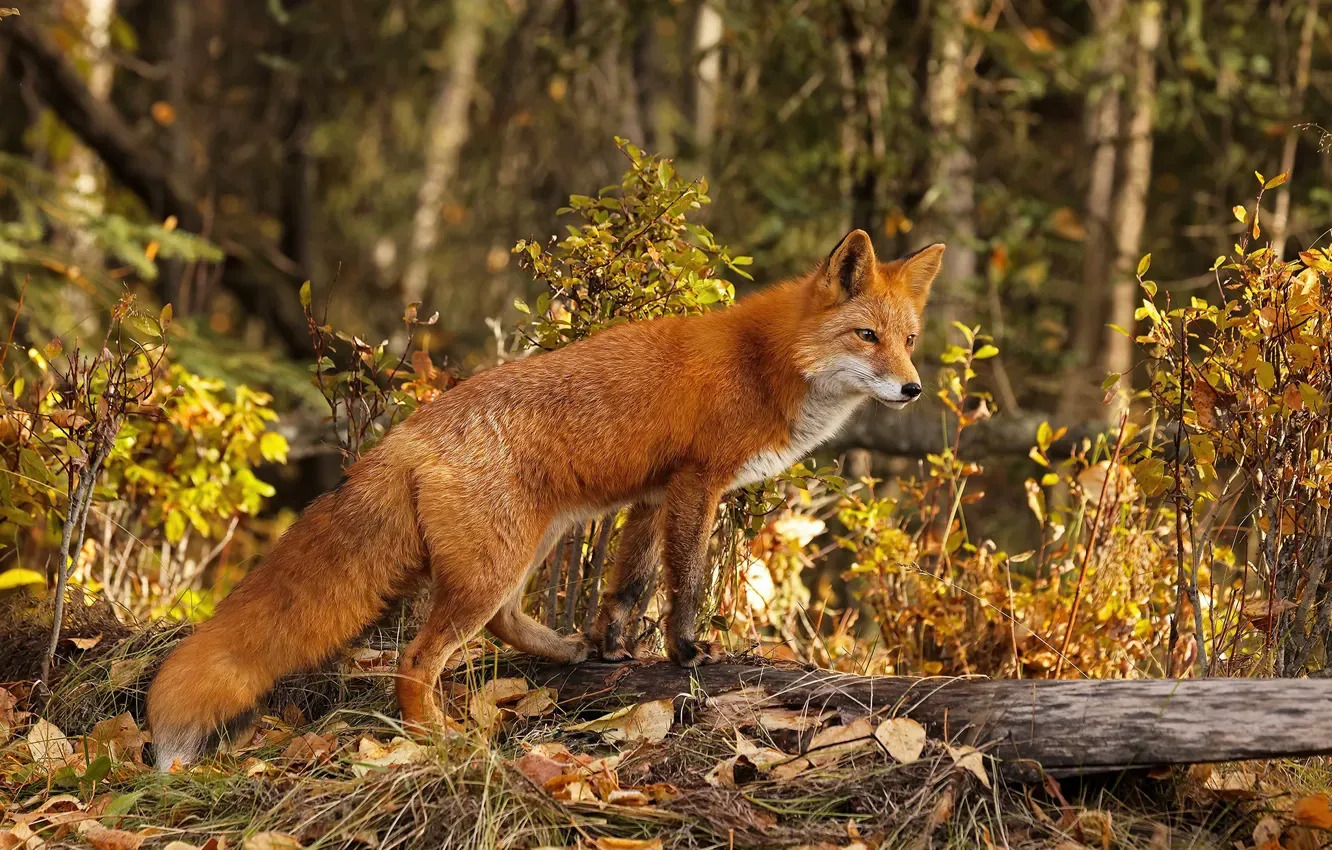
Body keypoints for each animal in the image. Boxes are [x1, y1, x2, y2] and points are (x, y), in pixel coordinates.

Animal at [146, 229, 943, 769]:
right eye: (865, 335)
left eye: (908, 340)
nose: (912, 389)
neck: (765, 362)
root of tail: (408, 434)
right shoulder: (697, 483)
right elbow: (683, 582)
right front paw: (686, 650)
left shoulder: (653, 495)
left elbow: (627, 585)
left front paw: (616, 646)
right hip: (499, 563)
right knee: (418, 660)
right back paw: (437, 738)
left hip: (527, 546)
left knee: (502, 624)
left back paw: (563, 654)